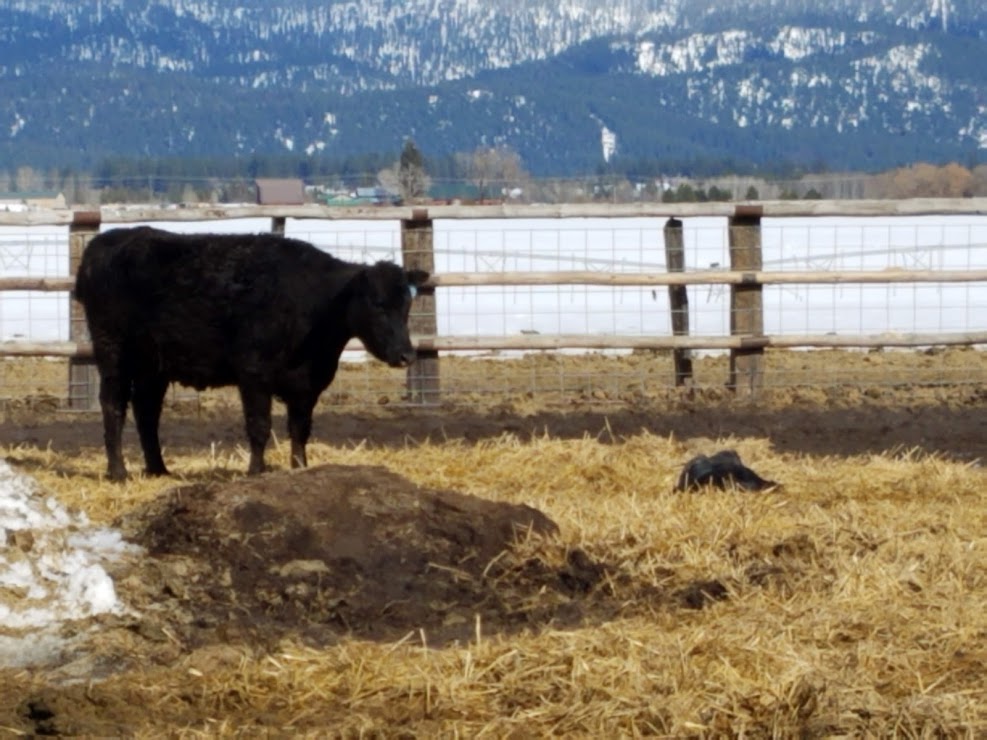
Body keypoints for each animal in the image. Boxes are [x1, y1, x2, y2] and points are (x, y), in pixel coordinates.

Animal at [75, 225, 430, 480]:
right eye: (378, 304)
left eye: (407, 304)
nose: (406, 355)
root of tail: (105, 241)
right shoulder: (254, 372)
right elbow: (259, 426)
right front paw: (256, 471)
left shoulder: (307, 386)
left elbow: (300, 430)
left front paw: (301, 469)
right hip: (113, 352)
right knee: (113, 405)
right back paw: (118, 472)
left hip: (154, 364)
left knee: (146, 411)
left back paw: (158, 469)